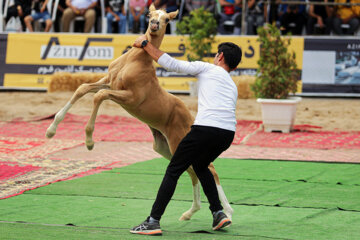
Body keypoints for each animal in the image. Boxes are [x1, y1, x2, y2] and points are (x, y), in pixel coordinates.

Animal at [45, 3, 233, 221]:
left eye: (167, 19)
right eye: (150, 14)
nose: (154, 24)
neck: (135, 60)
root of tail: (191, 118)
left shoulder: (130, 97)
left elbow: (99, 96)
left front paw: (89, 141)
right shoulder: (109, 81)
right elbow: (82, 88)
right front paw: (51, 130)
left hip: (180, 142)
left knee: (209, 169)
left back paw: (227, 212)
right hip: (165, 147)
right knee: (193, 172)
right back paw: (190, 212)